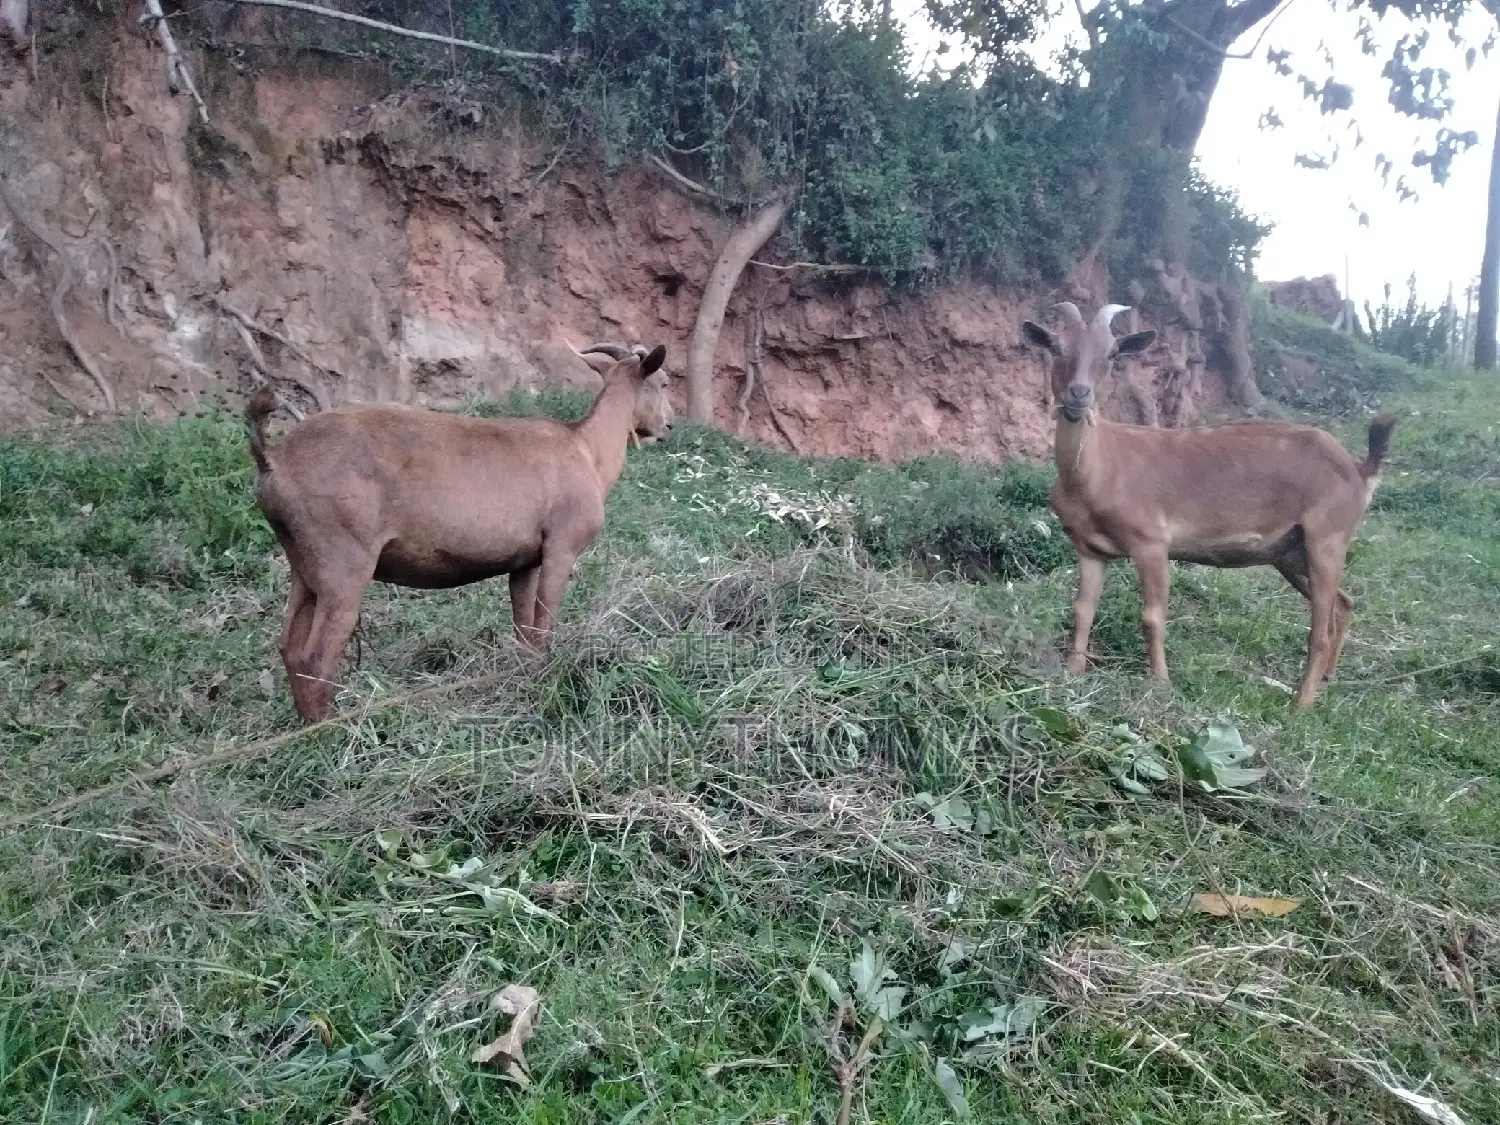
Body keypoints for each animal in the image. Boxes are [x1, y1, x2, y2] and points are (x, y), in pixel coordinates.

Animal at [245, 341, 672, 722]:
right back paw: (333, 731)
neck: (585, 447)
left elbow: (524, 631)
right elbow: (543, 623)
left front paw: (525, 676)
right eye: (664, 382)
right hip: (344, 564)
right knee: (316, 657)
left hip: (304, 564)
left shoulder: (524, 562)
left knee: (290, 648)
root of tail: (274, 458)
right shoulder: (561, 548)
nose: (668, 425)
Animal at [1021, 302, 1396, 708]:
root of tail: (1359, 469)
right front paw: (1073, 671)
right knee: (1343, 604)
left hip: (1327, 537)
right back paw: (1328, 677)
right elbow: (1082, 609)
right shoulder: (1091, 549)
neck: (1098, 468)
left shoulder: (1151, 542)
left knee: (1320, 628)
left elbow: (1152, 617)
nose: (1079, 395)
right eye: (1056, 347)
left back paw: (1300, 704)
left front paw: (1161, 683)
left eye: (1111, 354)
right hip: (1291, 553)